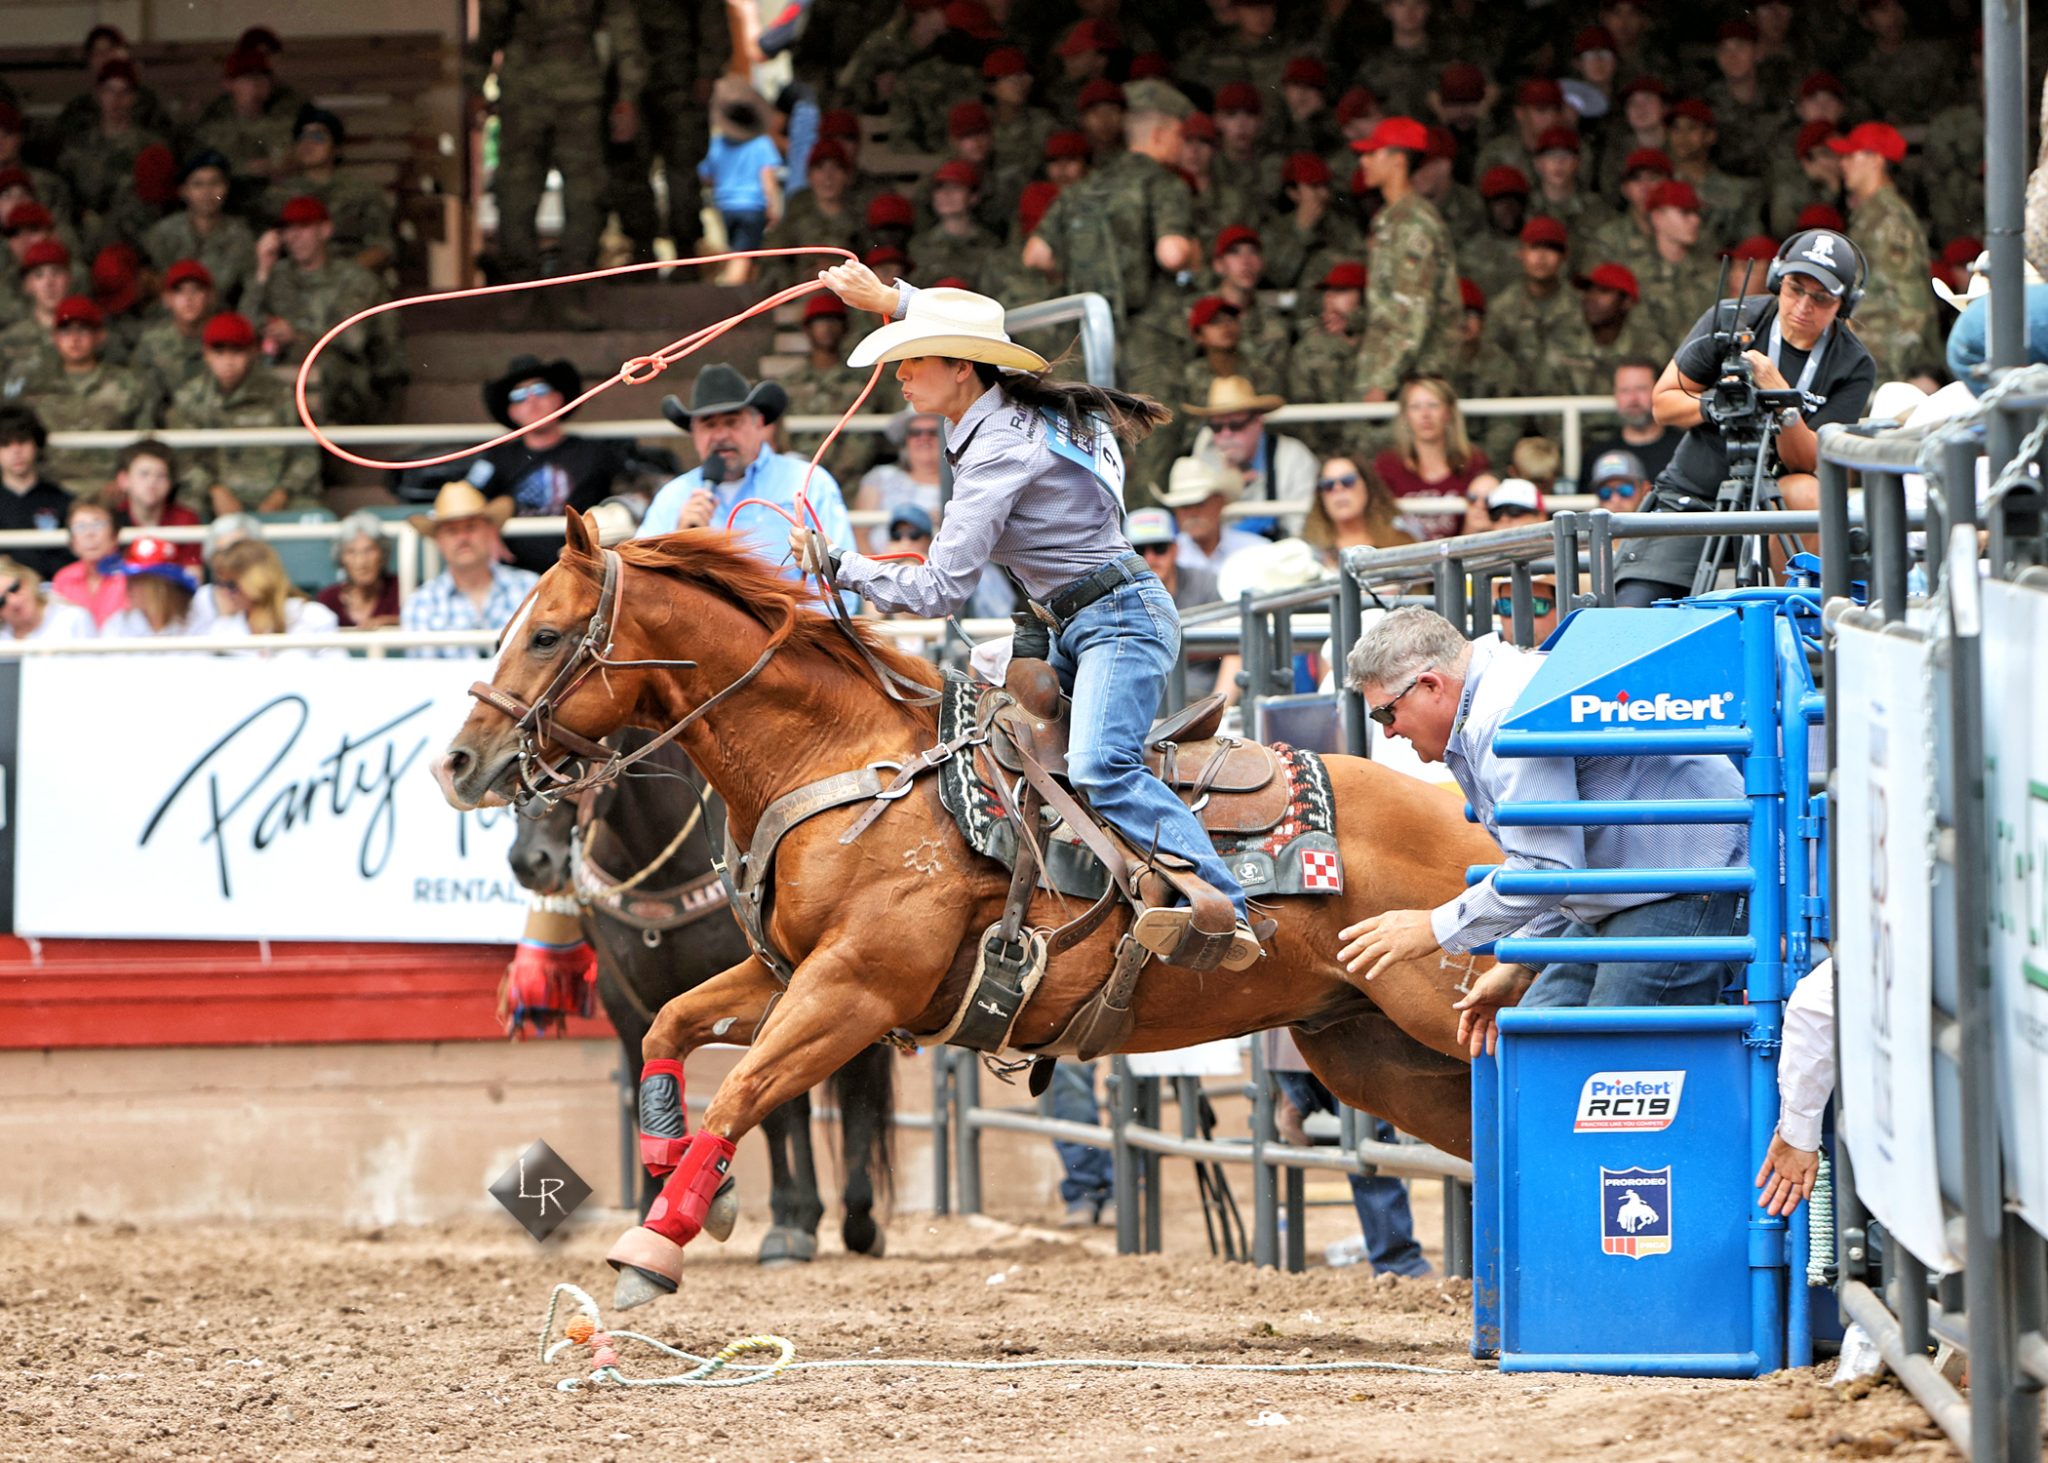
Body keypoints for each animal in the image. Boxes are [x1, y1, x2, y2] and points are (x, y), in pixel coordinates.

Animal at [440, 510, 1499, 1303]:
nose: (458, 762)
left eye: (545, 633)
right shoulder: (787, 971)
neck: (845, 762)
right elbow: (671, 1024)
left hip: (1428, 1018)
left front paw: (655, 1248)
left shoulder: (852, 990)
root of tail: (1473, 827)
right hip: (1373, 1050)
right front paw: (691, 1181)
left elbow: (745, 1088)